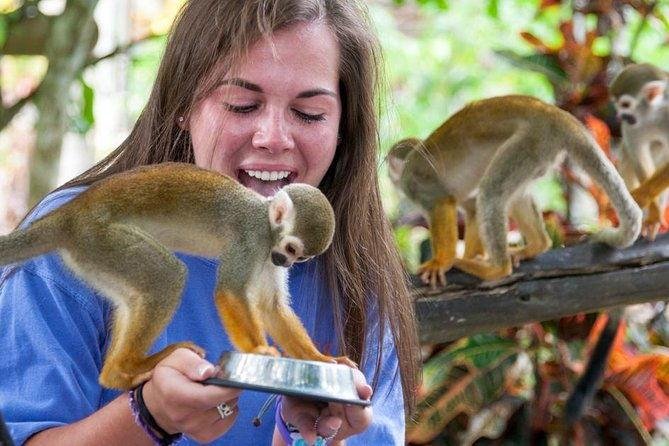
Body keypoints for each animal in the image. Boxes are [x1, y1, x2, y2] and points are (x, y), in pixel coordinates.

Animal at [0, 162, 352, 390]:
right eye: (291, 248)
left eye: (300, 257)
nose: (284, 262)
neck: (267, 225)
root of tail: (70, 215)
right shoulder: (251, 237)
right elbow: (230, 291)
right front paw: (257, 351)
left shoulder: (265, 255)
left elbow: (271, 308)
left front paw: (320, 359)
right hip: (100, 238)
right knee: (166, 277)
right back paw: (131, 365)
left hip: (93, 254)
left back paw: (114, 374)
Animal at [388, 95, 642, 287]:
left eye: (390, 165)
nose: (389, 176)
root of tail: (558, 115)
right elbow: (472, 209)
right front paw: (473, 255)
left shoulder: (416, 182)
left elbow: (443, 201)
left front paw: (442, 261)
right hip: (540, 154)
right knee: (511, 195)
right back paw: (537, 245)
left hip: (532, 140)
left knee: (491, 193)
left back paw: (497, 269)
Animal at [610, 63, 669, 238]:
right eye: (616, 104)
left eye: (625, 105)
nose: (620, 116)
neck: (653, 114)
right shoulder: (631, 126)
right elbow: (639, 159)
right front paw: (653, 214)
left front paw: (643, 197)